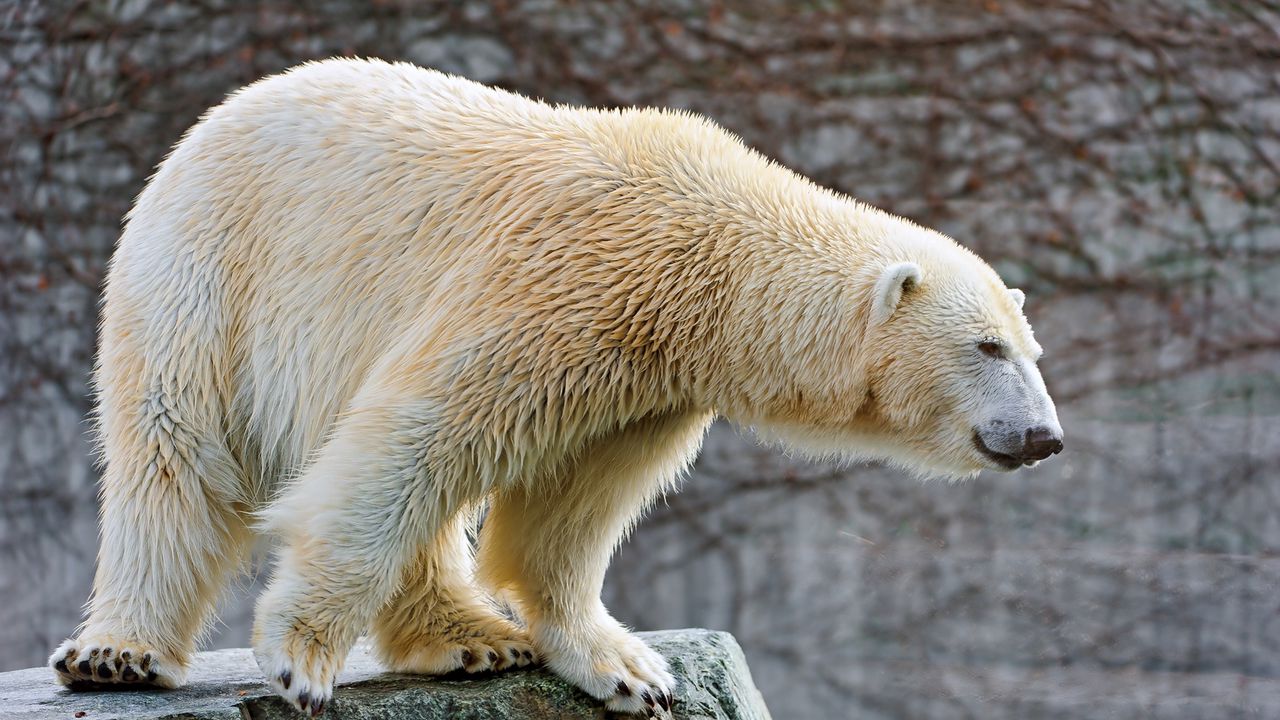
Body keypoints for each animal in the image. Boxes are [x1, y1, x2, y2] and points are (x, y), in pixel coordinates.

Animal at [49, 58, 1064, 712]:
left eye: (1032, 351)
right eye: (986, 348)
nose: (1044, 436)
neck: (705, 250)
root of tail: (208, 122)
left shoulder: (645, 376)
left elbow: (569, 508)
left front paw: (628, 669)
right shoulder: (555, 286)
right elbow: (409, 440)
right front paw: (300, 658)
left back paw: (470, 636)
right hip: (211, 272)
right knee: (175, 449)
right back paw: (116, 654)